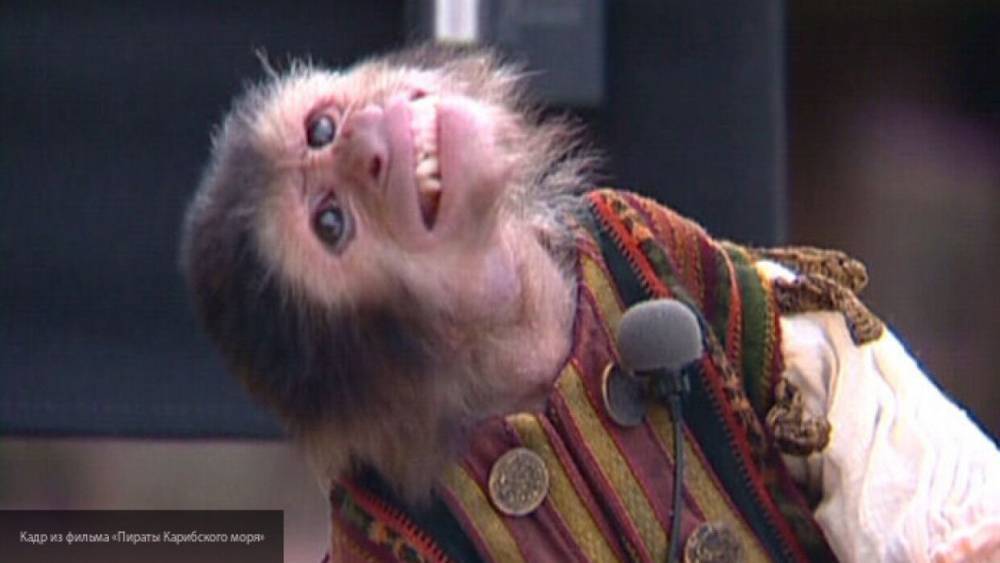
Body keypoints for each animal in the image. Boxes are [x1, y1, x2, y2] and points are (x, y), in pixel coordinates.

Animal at [182, 45, 1000, 562]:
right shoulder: (368, 530)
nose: (367, 146)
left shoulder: (700, 258)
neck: (537, 365)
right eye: (331, 223)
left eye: (322, 128)